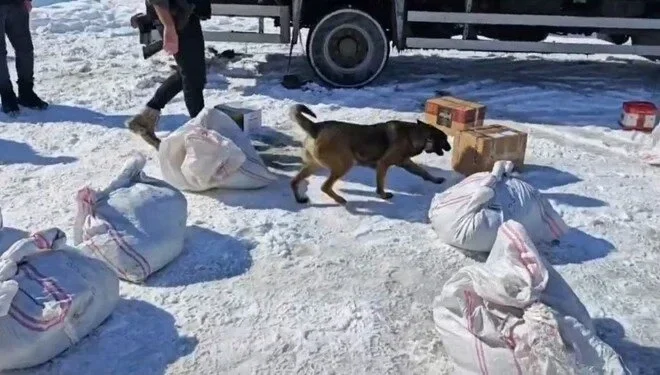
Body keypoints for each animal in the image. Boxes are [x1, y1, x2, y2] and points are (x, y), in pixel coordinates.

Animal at [290, 104, 452, 206]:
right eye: (444, 139)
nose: (450, 147)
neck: (416, 135)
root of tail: (316, 127)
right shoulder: (383, 164)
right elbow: (380, 185)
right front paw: (383, 195)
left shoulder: (406, 163)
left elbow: (424, 172)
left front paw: (436, 179)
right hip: (344, 164)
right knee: (325, 186)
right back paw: (340, 199)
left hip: (314, 165)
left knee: (294, 181)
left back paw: (299, 198)